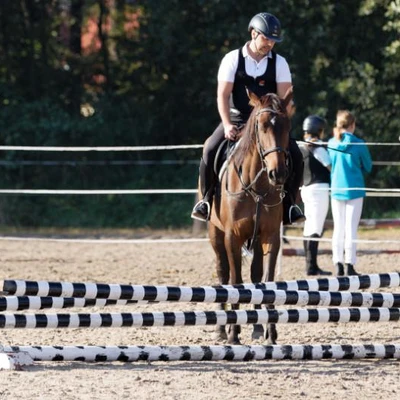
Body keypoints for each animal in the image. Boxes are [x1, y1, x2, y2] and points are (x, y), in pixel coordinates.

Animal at [209, 87, 290, 344]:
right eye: (262, 126)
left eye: (286, 125)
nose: (277, 173)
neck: (257, 186)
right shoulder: (232, 237)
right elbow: (236, 282)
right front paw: (234, 333)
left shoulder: (271, 237)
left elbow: (268, 282)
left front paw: (270, 333)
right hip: (216, 235)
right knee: (223, 274)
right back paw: (222, 329)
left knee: (255, 277)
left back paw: (256, 326)